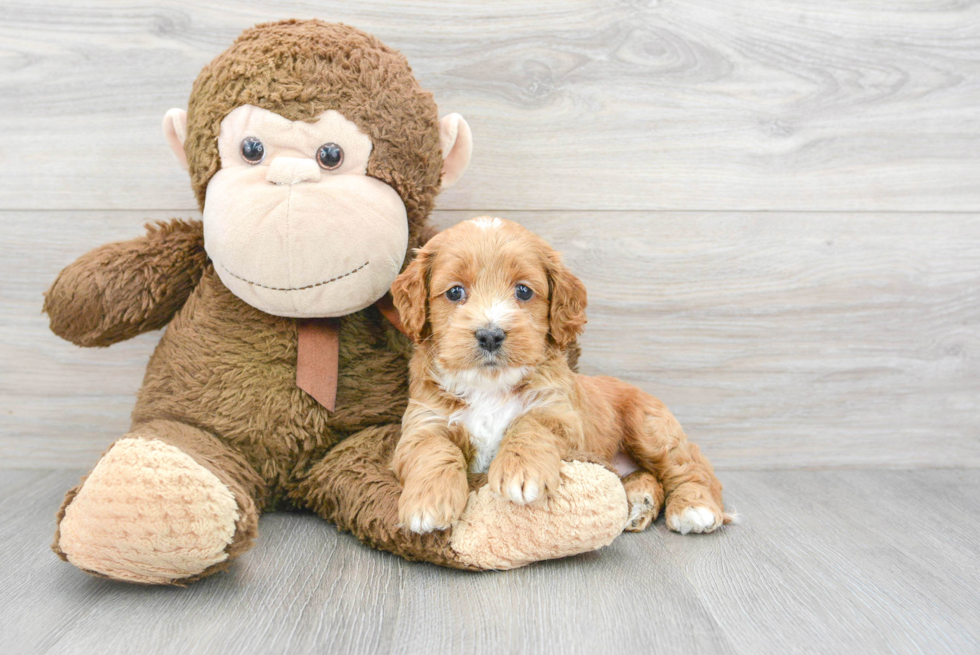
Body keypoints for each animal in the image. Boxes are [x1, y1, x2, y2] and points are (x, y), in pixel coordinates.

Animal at [386, 218, 732, 536]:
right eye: (455, 292)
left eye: (524, 291)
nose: (490, 335)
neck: (490, 386)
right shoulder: (423, 422)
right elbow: (433, 450)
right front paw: (427, 502)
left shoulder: (560, 413)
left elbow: (530, 424)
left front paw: (521, 471)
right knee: (650, 475)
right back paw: (639, 502)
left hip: (650, 427)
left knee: (688, 467)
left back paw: (694, 508)